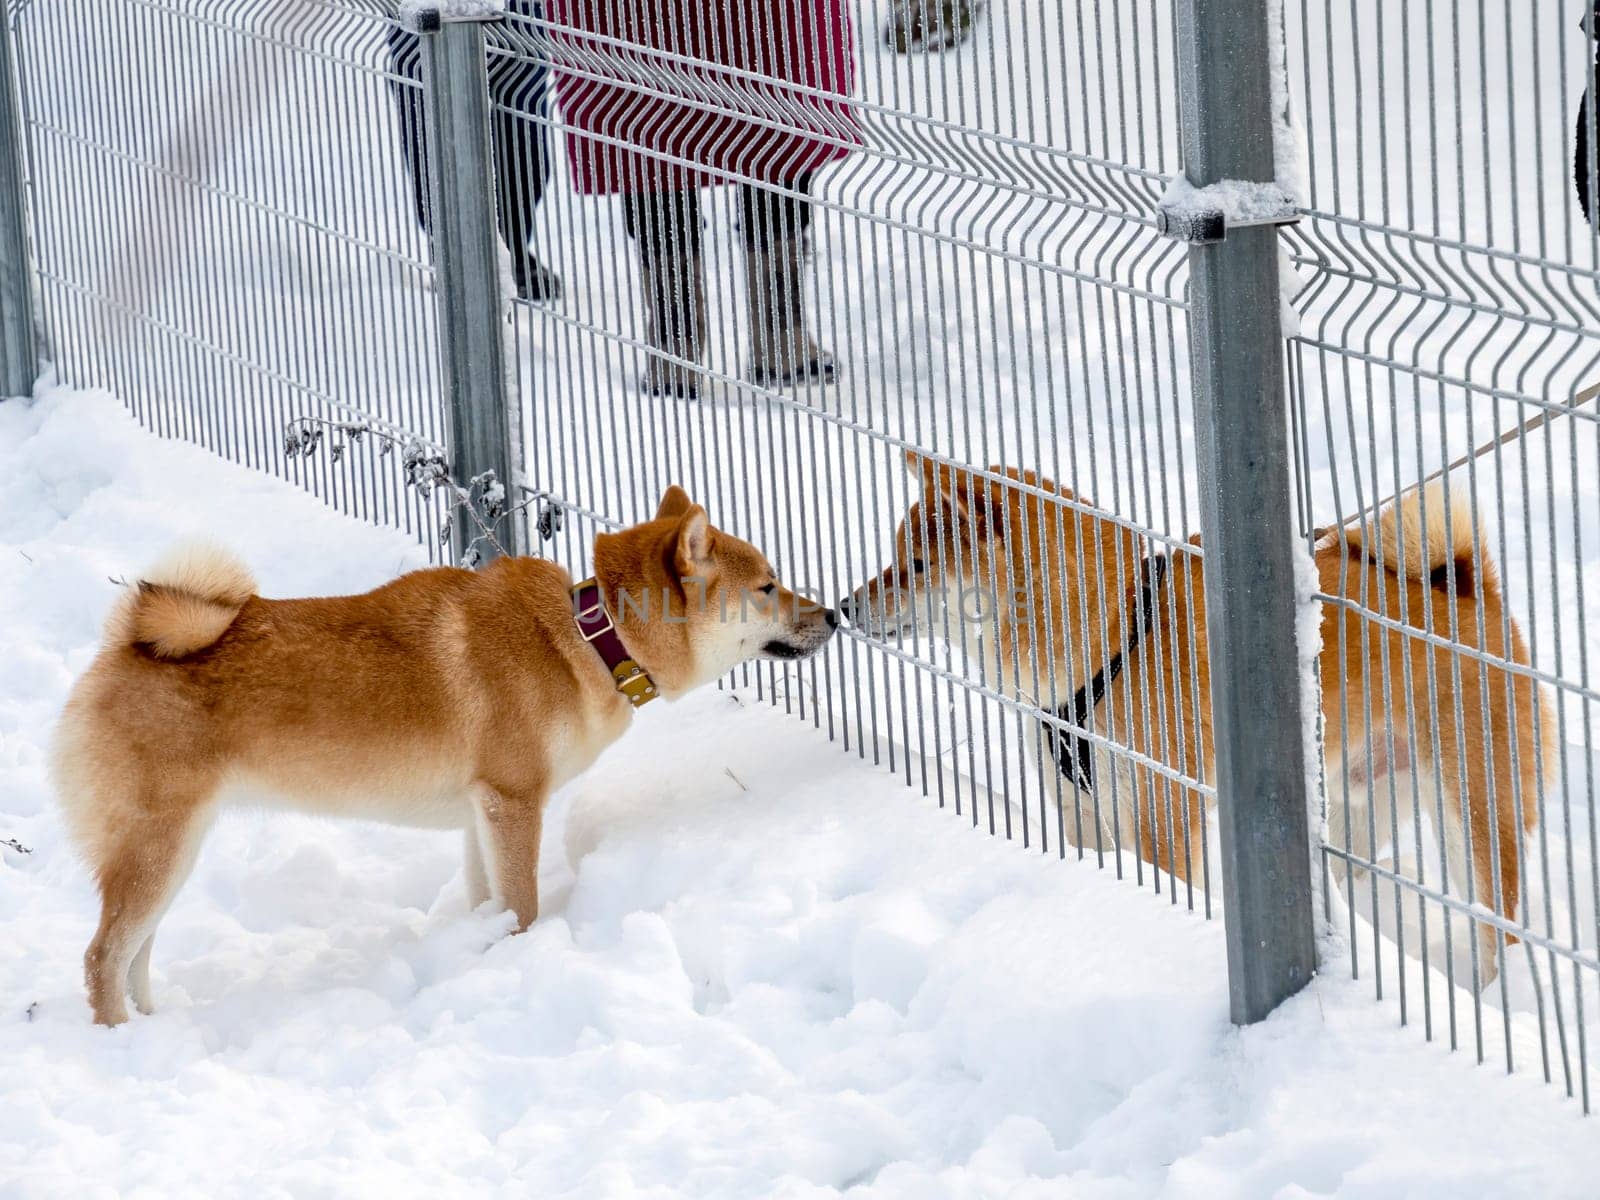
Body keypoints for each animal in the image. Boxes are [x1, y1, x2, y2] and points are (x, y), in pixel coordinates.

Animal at [50, 489, 838, 1024]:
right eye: (768, 586)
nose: (833, 614)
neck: (590, 637)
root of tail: (126, 643)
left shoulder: (478, 817)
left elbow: (489, 903)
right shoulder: (513, 802)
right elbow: (524, 906)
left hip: (172, 856)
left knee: (134, 955)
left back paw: (156, 1026)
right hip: (157, 852)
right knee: (101, 958)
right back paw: (123, 1042)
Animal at [844, 454, 1555, 972]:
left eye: (914, 565)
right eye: (895, 558)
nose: (846, 607)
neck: (1111, 634)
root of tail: (1467, 587)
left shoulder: (1160, 820)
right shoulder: (1080, 813)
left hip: (1473, 816)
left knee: (1500, 930)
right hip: (1358, 811)